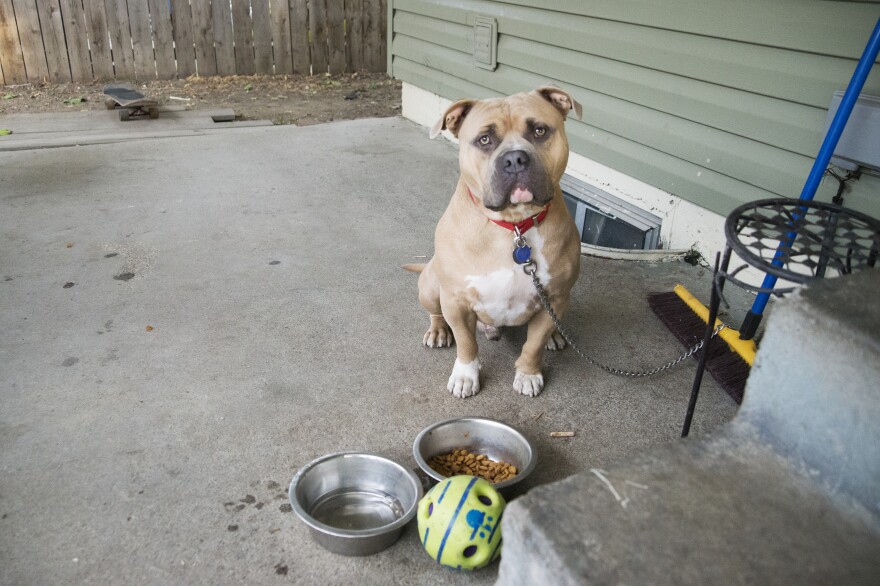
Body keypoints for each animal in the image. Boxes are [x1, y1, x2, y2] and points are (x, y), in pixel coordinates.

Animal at [408, 86, 584, 396]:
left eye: (539, 130)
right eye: (485, 140)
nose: (515, 159)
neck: (513, 226)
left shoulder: (555, 295)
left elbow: (533, 344)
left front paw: (528, 374)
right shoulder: (456, 300)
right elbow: (466, 343)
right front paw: (465, 375)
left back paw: (555, 335)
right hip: (430, 286)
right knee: (436, 313)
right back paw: (439, 330)